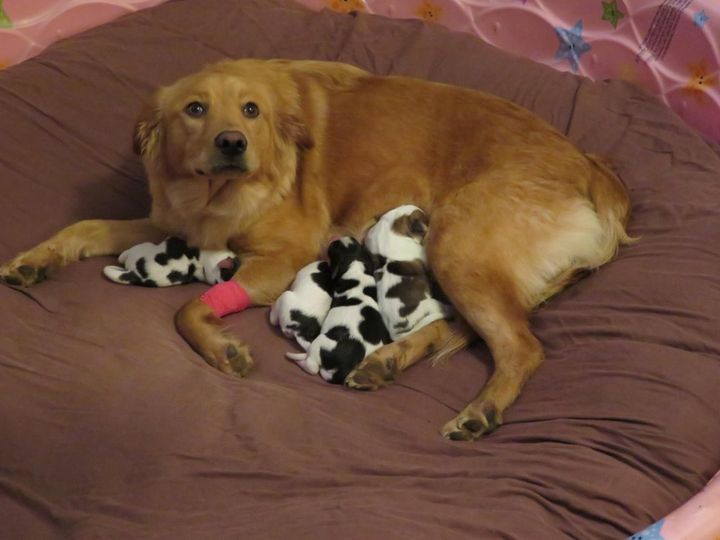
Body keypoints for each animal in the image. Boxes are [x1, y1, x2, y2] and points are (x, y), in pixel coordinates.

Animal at [286, 236, 390, 384]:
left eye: (333, 247)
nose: (336, 238)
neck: (356, 266)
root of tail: (344, 367)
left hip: (321, 341)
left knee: (312, 366)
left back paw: (296, 359)